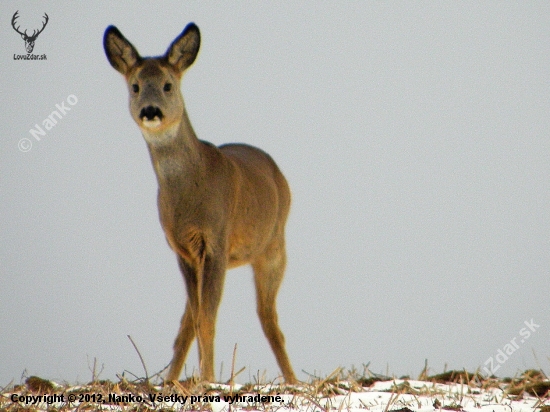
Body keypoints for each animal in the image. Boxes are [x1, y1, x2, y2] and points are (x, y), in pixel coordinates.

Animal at [103, 22, 298, 384]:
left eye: (168, 85)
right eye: (135, 86)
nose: (150, 111)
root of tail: (278, 173)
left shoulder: (216, 240)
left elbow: (208, 317)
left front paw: (208, 379)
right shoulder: (182, 249)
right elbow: (194, 320)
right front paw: (189, 380)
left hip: (273, 247)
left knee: (269, 319)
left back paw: (294, 381)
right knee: (188, 321)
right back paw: (170, 379)